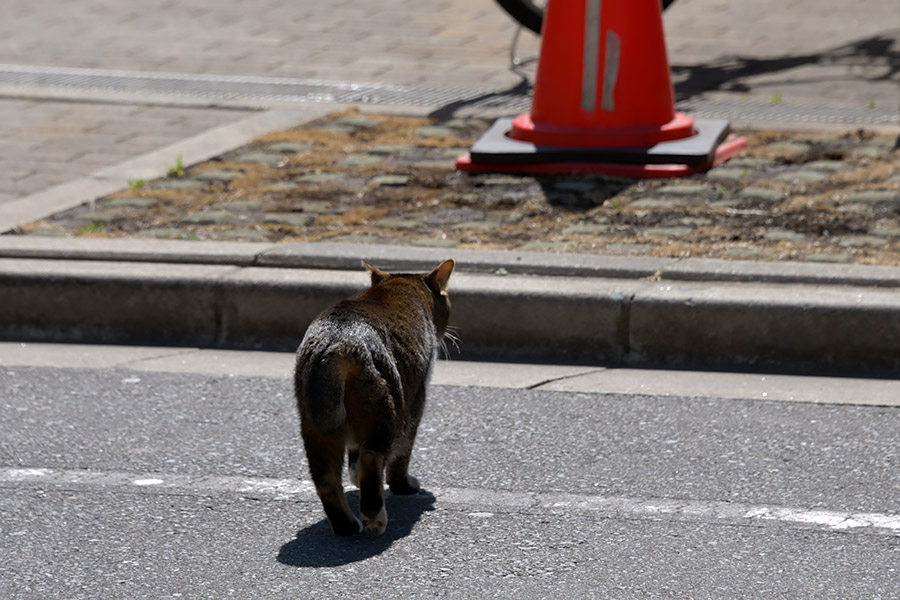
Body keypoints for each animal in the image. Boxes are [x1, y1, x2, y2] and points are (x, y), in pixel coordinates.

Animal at [294, 258, 454, 536]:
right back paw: (374, 519)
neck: (399, 286)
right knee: (372, 458)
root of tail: (335, 343)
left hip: (315, 423)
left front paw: (354, 477)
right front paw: (404, 487)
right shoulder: (416, 401)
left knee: (325, 478)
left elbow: (354, 458)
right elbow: (401, 456)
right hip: (387, 411)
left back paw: (347, 526)